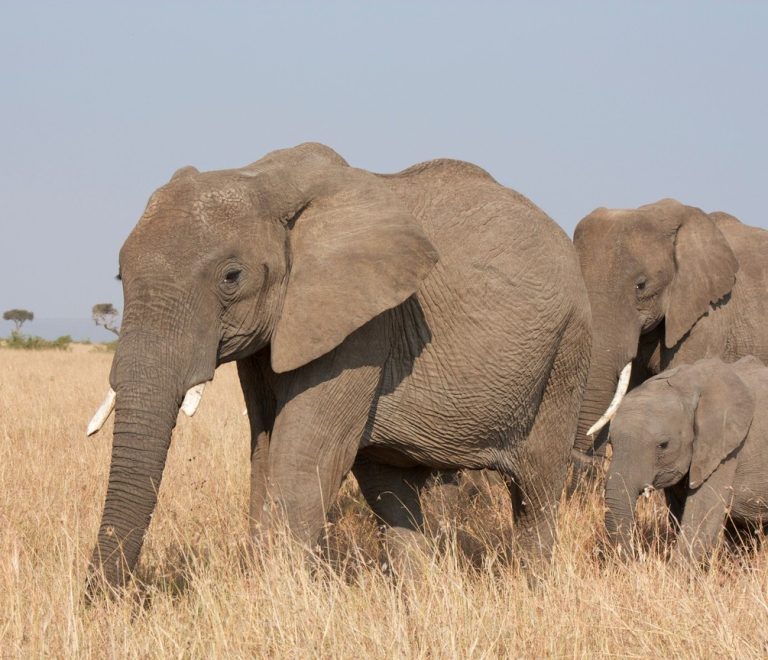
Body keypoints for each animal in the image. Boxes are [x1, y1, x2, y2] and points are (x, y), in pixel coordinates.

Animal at [85, 142, 591, 591]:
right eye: (121, 276)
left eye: (232, 277)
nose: (103, 601)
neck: (265, 179)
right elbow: (265, 456)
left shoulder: (364, 324)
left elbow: (303, 461)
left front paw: (278, 600)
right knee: (392, 492)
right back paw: (420, 596)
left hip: (565, 353)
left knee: (537, 487)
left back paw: (531, 590)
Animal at [604, 356, 768, 563]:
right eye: (611, 443)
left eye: (663, 445)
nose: (639, 556)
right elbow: (679, 515)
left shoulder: (725, 450)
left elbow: (701, 521)